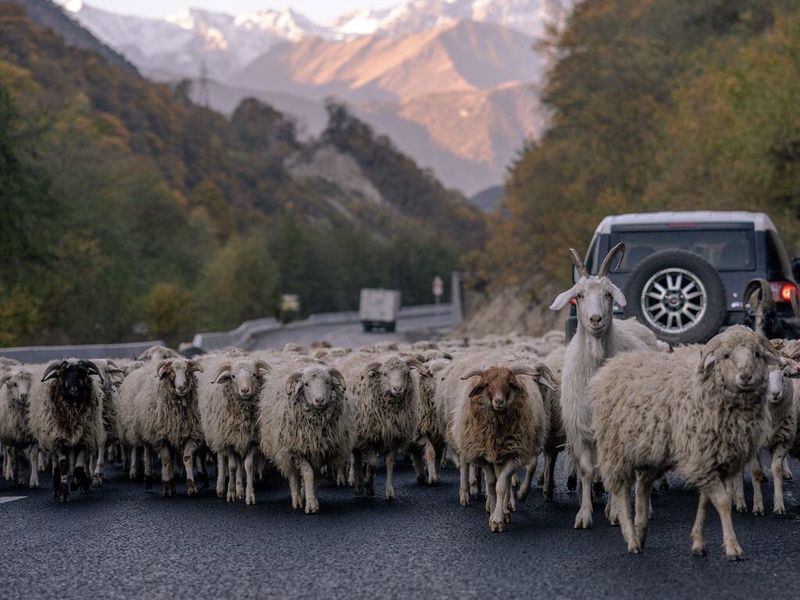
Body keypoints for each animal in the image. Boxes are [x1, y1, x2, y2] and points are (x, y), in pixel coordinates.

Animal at [592, 326, 780, 560]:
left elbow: (705, 503)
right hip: (616, 448)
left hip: (653, 452)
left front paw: (698, 542)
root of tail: (613, 364)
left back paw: (641, 530)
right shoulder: (701, 458)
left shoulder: (712, 459)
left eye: (756, 354)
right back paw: (632, 539)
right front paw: (732, 547)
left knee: (643, 485)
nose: (745, 376)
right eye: (726, 355)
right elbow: (723, 502)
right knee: (622, 491)